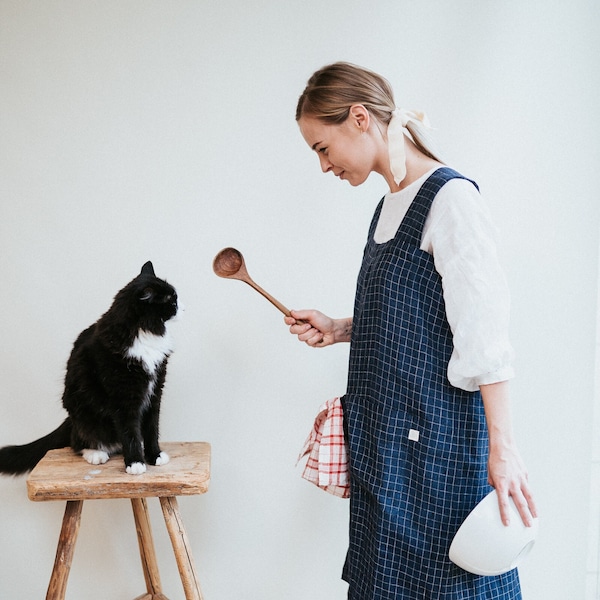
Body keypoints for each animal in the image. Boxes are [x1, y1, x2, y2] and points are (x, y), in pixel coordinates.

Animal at [0, 260, 178, 476]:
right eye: (171, 300)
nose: (181, 306)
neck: (143, 332)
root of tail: (70, 420)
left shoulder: (155, 390)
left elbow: (152, 428)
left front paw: (154, 455)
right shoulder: (123, 396)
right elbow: (130, 432)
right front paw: (135, 462)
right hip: (84, 412)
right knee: (77, 443)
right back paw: (96, 454)